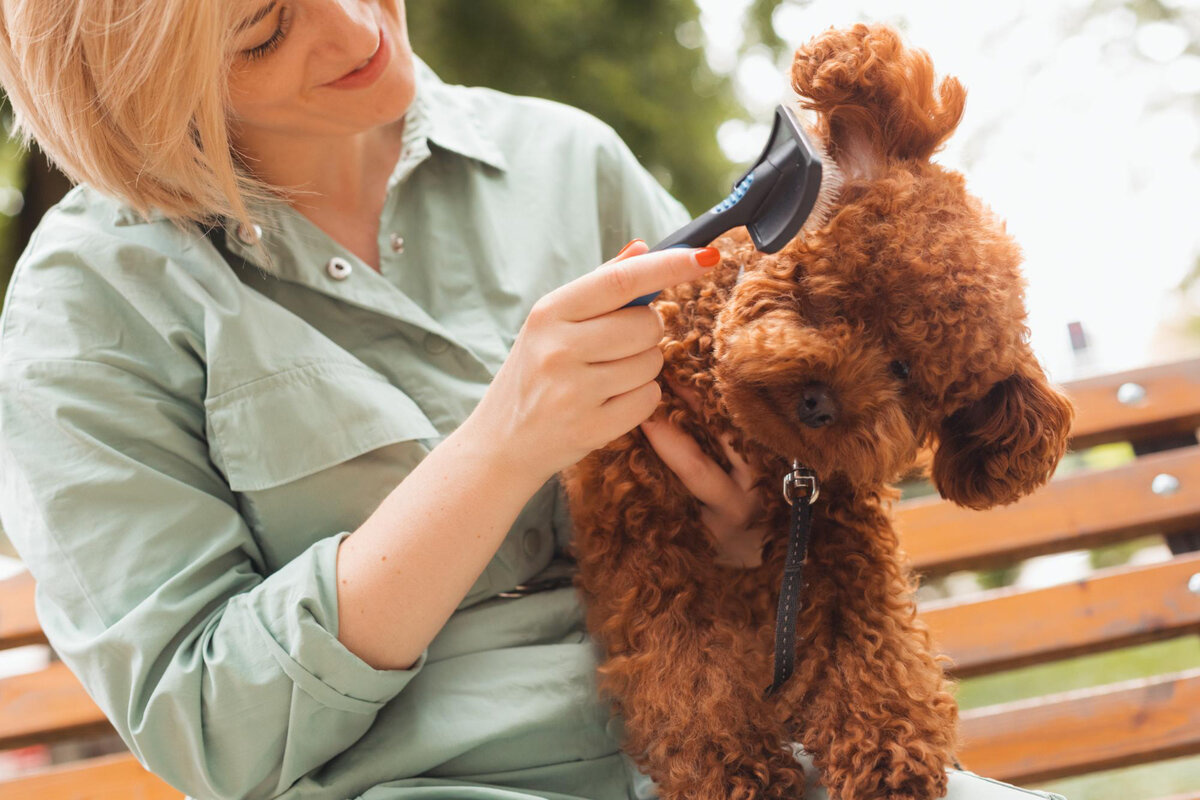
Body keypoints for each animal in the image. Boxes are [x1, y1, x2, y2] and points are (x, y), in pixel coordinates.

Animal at [561, 18, 1080, 800]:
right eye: (840, 296)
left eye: (908, 376)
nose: (821, 400)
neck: (755, 448)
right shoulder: (650, 548)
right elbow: (688, 672)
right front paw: (736, 769)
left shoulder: (838, 549)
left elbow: (869, 654)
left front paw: (892, 759)